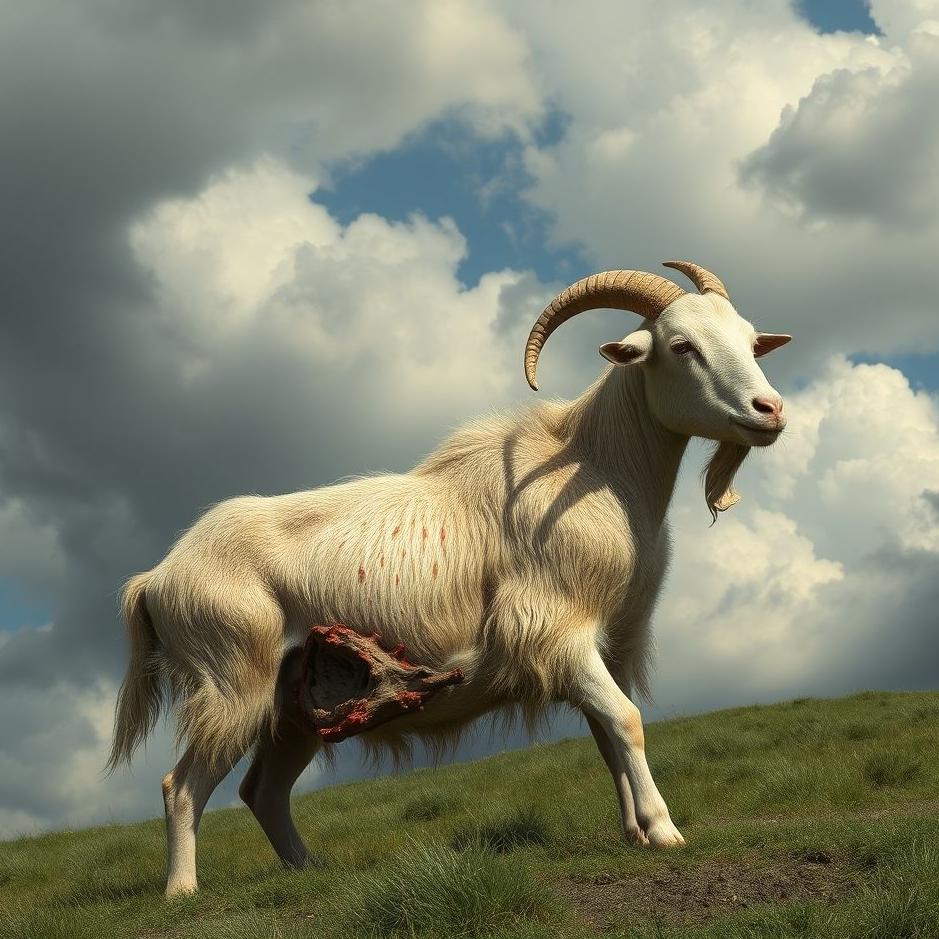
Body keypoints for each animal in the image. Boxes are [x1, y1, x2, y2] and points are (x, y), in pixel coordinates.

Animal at [108, 260, 791, 896]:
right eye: (682, 346)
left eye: (750, 340)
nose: (771, 410)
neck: (598, 470)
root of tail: (157, 576)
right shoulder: (556, 635)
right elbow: (628, 723)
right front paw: (665, 829)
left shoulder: (611, 645)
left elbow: (609, 734)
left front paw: (634, 832)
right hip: (232, 685)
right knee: (180, 787)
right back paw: (182, 893)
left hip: (293, 708)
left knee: (262, 791)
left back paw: (309, 870)